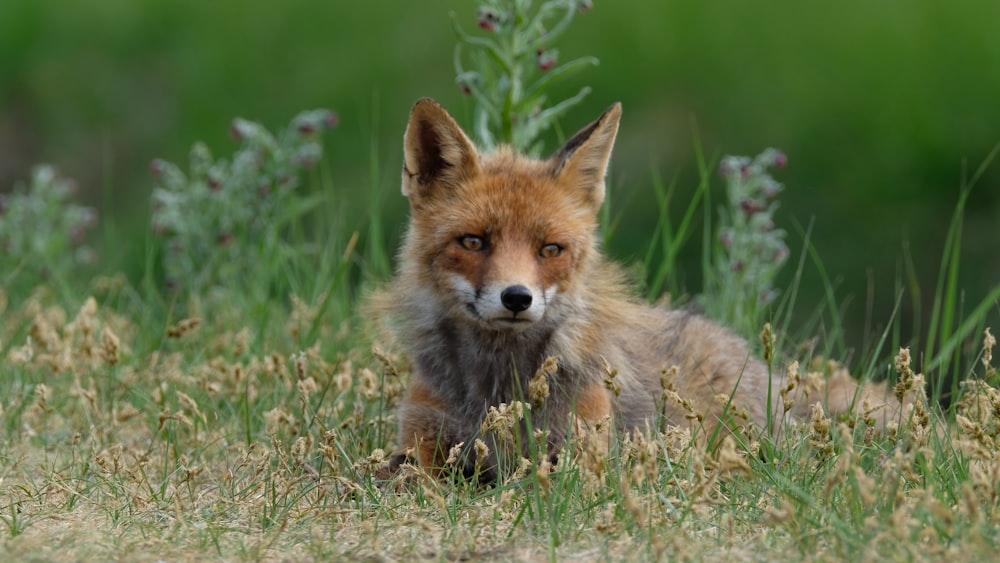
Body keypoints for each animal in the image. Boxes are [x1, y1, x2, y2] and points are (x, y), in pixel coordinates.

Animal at [376, 99, 908, 482]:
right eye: (473, 242)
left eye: (550, 249)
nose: (516, 298)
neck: (495, 387)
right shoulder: (423, 437)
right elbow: (402, 474)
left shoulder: (582, 452)